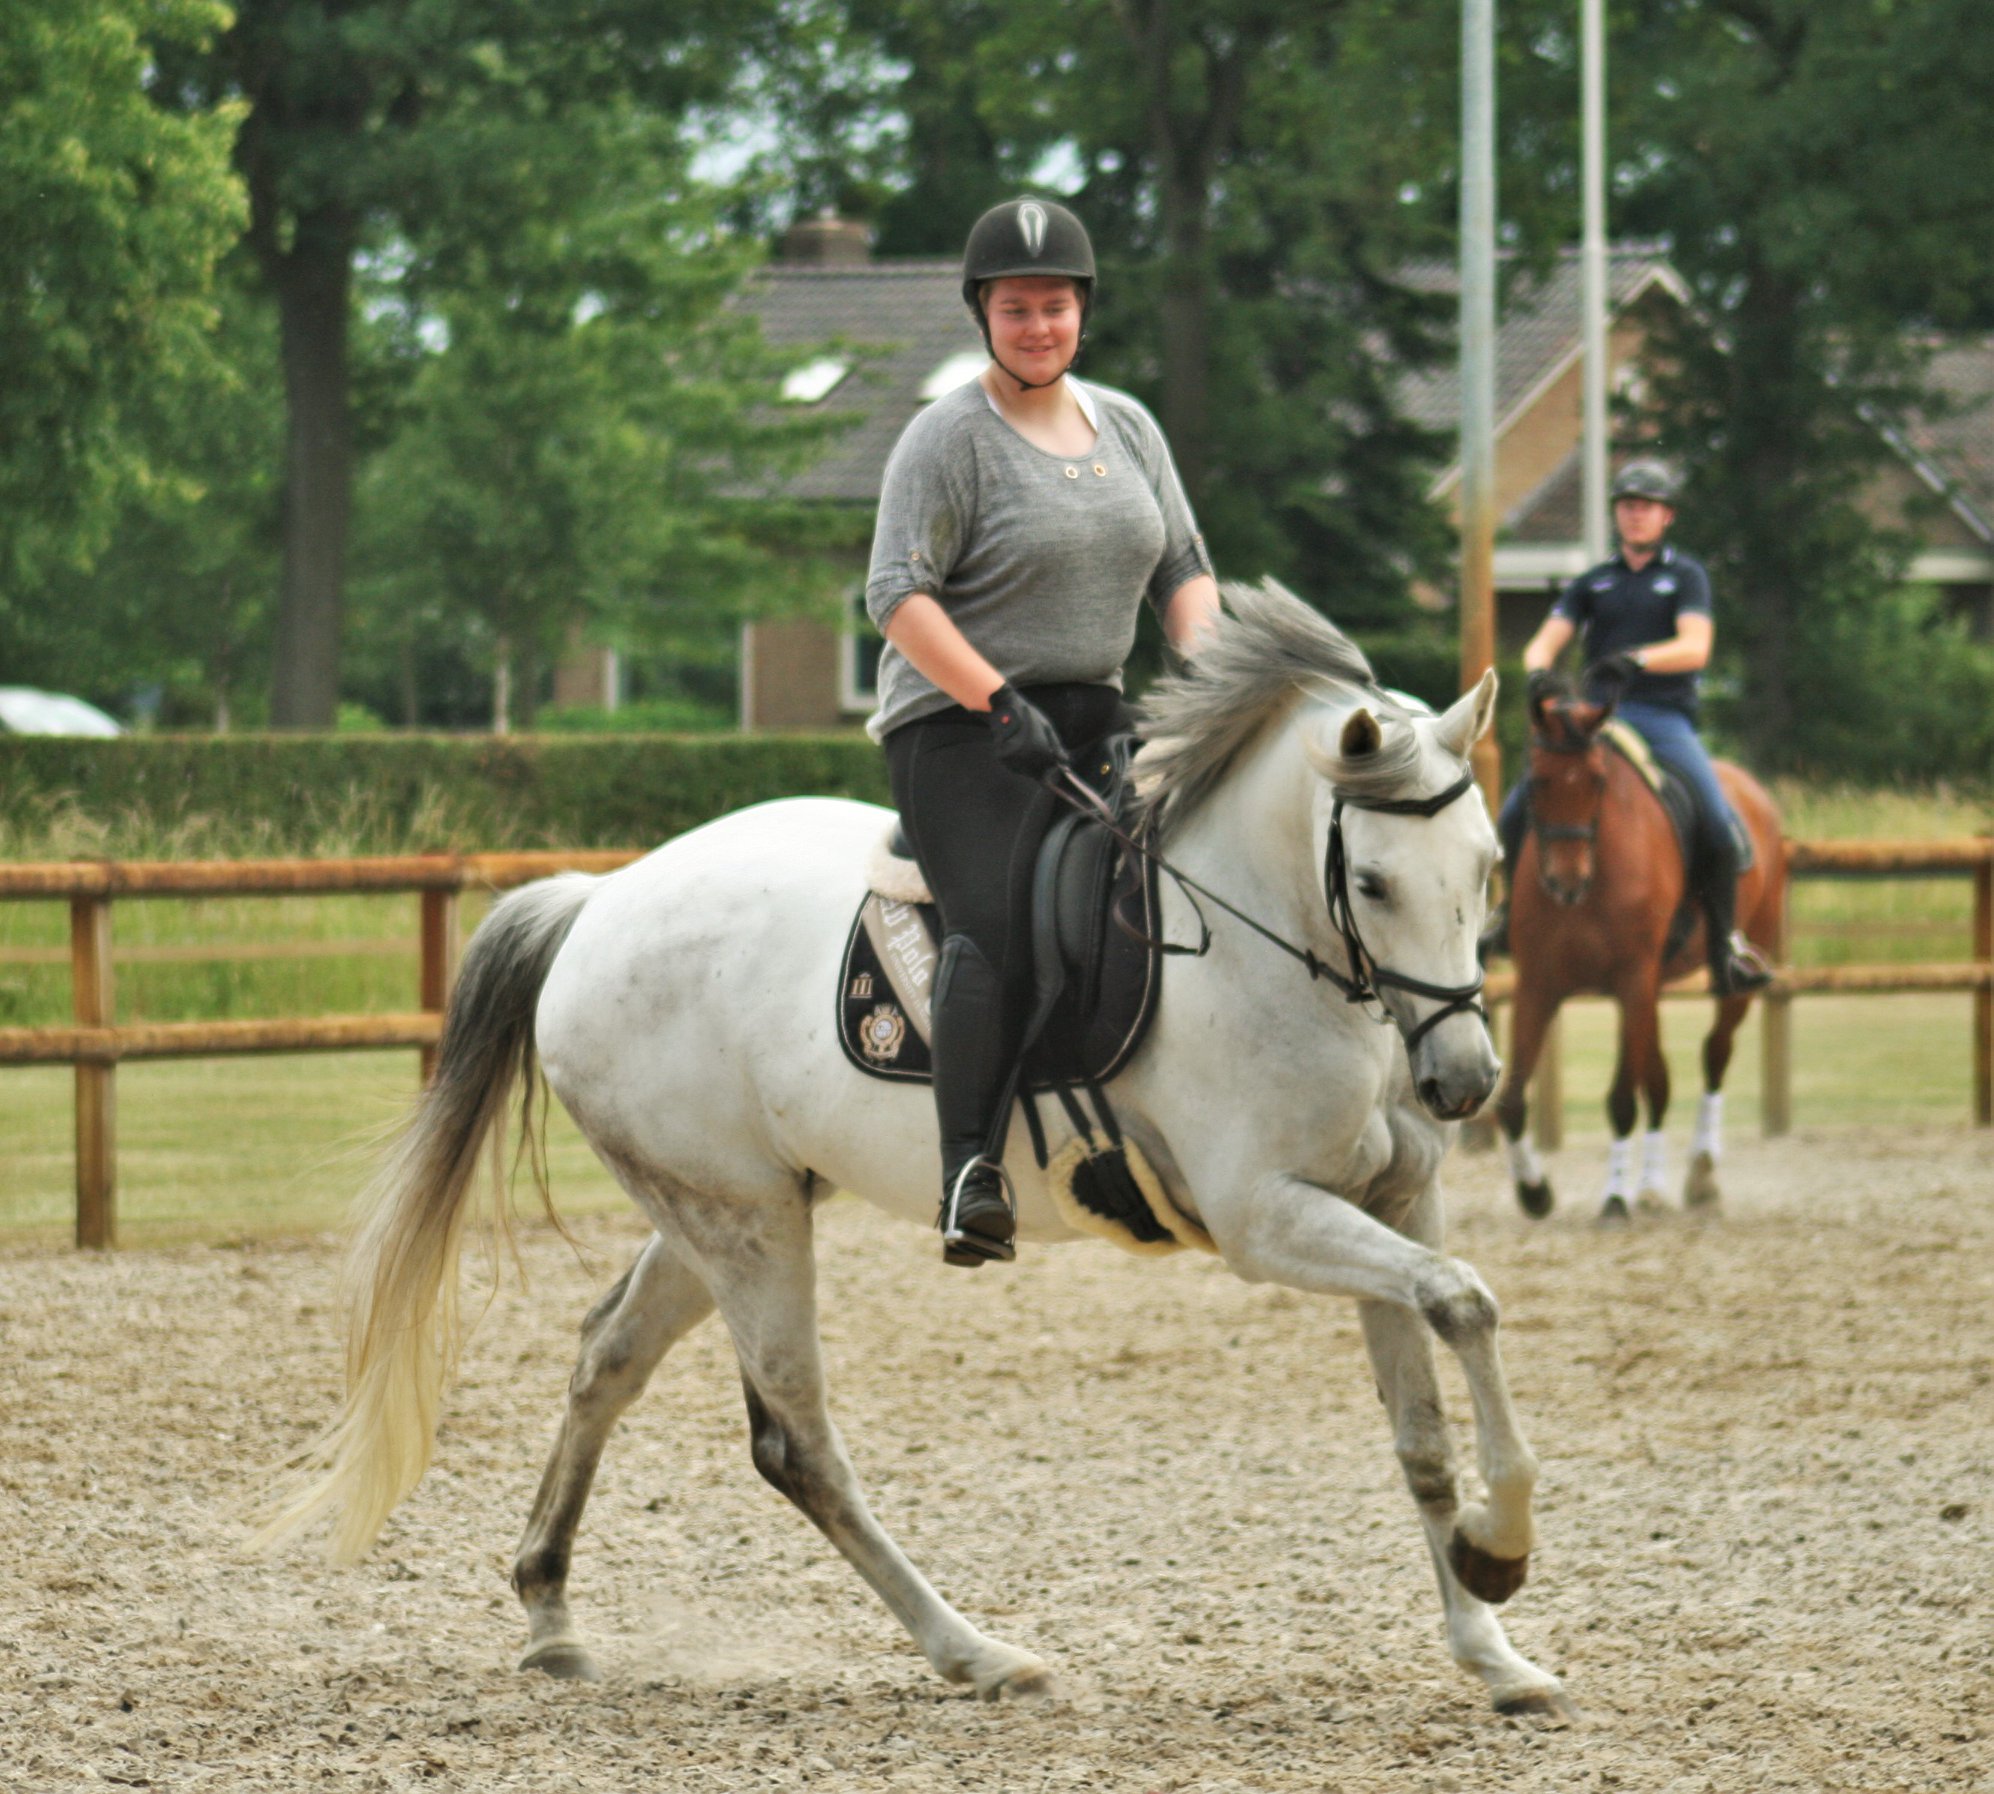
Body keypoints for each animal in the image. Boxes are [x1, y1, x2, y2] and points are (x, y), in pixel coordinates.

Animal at [261, 582, 1571, 1714]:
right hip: (746, 1226)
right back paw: (974, 1652)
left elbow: (1421, 1424)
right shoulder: (1267, 1218)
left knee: (606, 1359)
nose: (1460, 1082)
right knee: (795, 1442)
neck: (1272, 944)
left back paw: (549, 1615)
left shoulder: (1389, 1202)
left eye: (1486, 871)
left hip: (721, 1209)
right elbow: (1467, 1302)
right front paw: (1503, 1546)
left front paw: (1490, 1641)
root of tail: (601, 902)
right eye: (1370, 880)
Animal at [1491, 693, 1786, 1227]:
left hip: (1732, 971)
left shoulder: (1632, 982)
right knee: (1660, 1079)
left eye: (1597, 780)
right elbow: (1511, 1100)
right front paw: (1535, 1192)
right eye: (1538, 780)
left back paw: (1701, 1174)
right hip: (1650, 992)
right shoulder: (1538, 986)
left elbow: (1622, 1100)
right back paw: (1651, 1186)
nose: (1565, 881)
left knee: (1714, 1054)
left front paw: (1614, 1198)